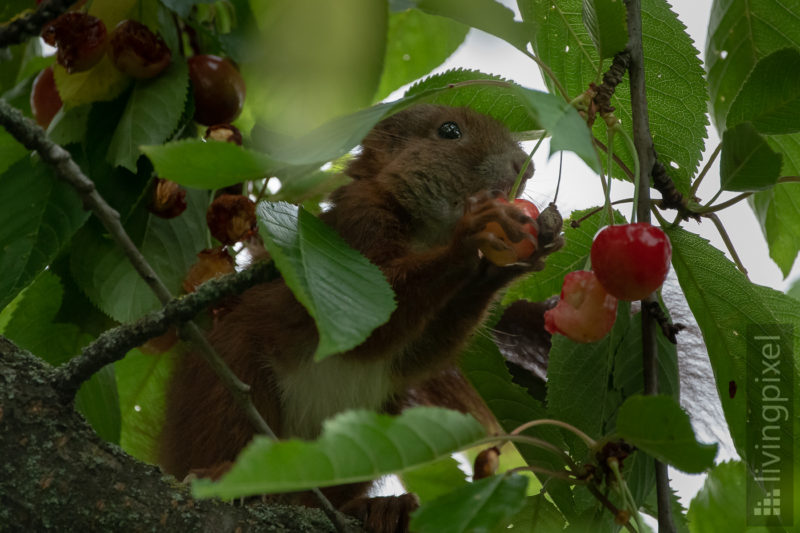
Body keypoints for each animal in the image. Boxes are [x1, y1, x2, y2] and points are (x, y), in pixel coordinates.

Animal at [159, 103, 564, 528]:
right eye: (449, 131)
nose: (524, 166)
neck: (426, 234)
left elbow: (422, 353)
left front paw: (506, 266)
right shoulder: (355, 231)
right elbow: (375, 324)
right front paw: (468, 237)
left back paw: (376, 507)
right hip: (228, 382)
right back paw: (219, 475)